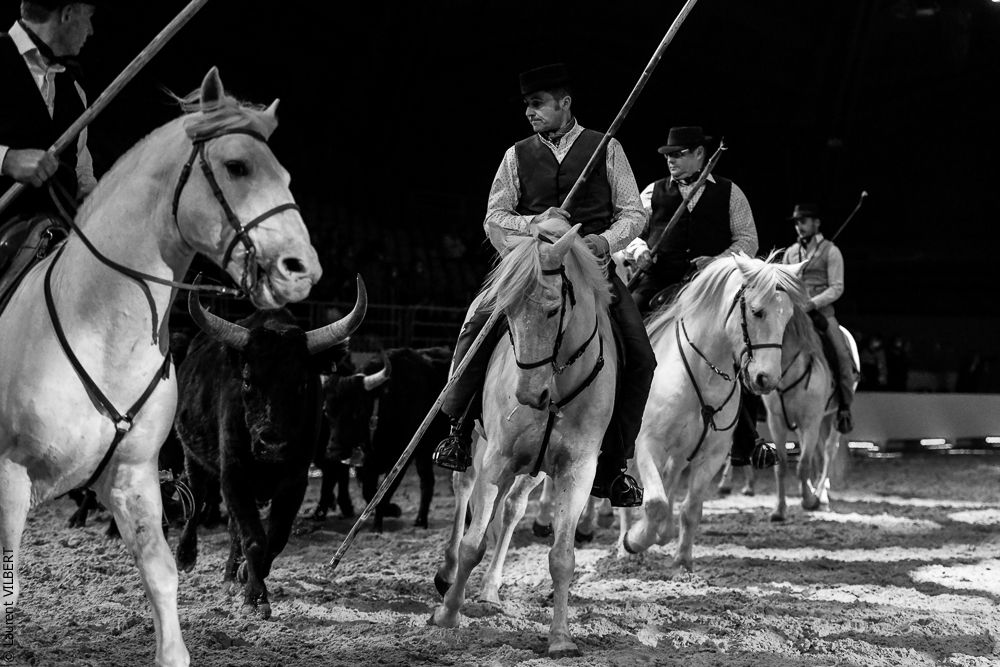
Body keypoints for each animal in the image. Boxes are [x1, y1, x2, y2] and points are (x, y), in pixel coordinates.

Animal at [0, 68, 363, 667]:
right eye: (237, 166)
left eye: (285, 174)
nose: (303, 269)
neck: (97, 325)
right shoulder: (11, 478)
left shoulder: (134, 475)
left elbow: (164, 572)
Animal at [429, 220, 617, 658]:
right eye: (507, 312)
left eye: (552, 309)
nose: (530, 396)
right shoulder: (497, 459)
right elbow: (473, 544)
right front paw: (448, 615)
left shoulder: (576, 471)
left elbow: (562, 556)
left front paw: (561, 638)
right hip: (478, 446)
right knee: (464, 488)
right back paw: (448, 576)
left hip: (533, 468)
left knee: (511, 508)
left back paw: (490, 589)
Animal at [617, 253, 806, 570]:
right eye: (756, 312)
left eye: (787, 316)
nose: (767, 379)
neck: (701, 372)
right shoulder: (648, 444)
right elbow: (655, 503)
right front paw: (634, 540)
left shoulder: (711, 455)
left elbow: (690, 509)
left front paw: (681, 560)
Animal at [764, 311, 859, 520]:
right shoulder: (776, 421)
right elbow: (782, 466)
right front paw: (779, 510)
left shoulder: (811, 422)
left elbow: (803, 466)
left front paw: (809, 500)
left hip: (833, 418)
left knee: (829, 451)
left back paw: (820, 495)